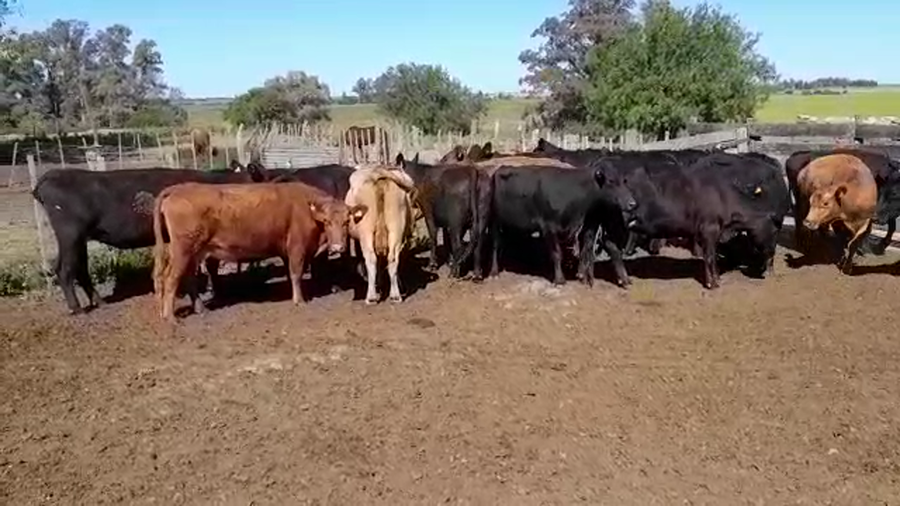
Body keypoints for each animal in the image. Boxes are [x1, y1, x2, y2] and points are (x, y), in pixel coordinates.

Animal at [31, 166, 267, 314]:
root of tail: (52, 175)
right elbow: (200, 268)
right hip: (70, 235)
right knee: (64, 269)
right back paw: (77, 308)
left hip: (79, 239)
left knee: (80, 269)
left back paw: (99, 302)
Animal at [152, 181, 365, 321]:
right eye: (327, 222)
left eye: (346, 222)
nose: (338, 247)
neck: (308, 208)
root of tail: (179, 188)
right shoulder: (297, 247)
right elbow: (296, 273)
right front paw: (299, 301)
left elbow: (291, 274)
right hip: (182, 251)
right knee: (170, 279)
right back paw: (170, 317)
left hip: (194, 252)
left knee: (188, 279)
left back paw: (199, 309)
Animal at [344, 166, 418, 304]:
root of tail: (379, 174)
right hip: (396, 227)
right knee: (392, 258)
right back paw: (395, 294)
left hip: (366, 230)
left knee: (371, 258)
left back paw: (371, 296)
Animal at [488, 162, 638, 287]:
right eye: (611, 181)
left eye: (624, 181)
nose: (632, 203)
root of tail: (502, 168)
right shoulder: (549, 226)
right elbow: (557, 253)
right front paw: (560, 280)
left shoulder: (585, 225)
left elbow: (585, 250)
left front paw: (582, 277)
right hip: (495, 221)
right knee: (495, 245)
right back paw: (494, 272)